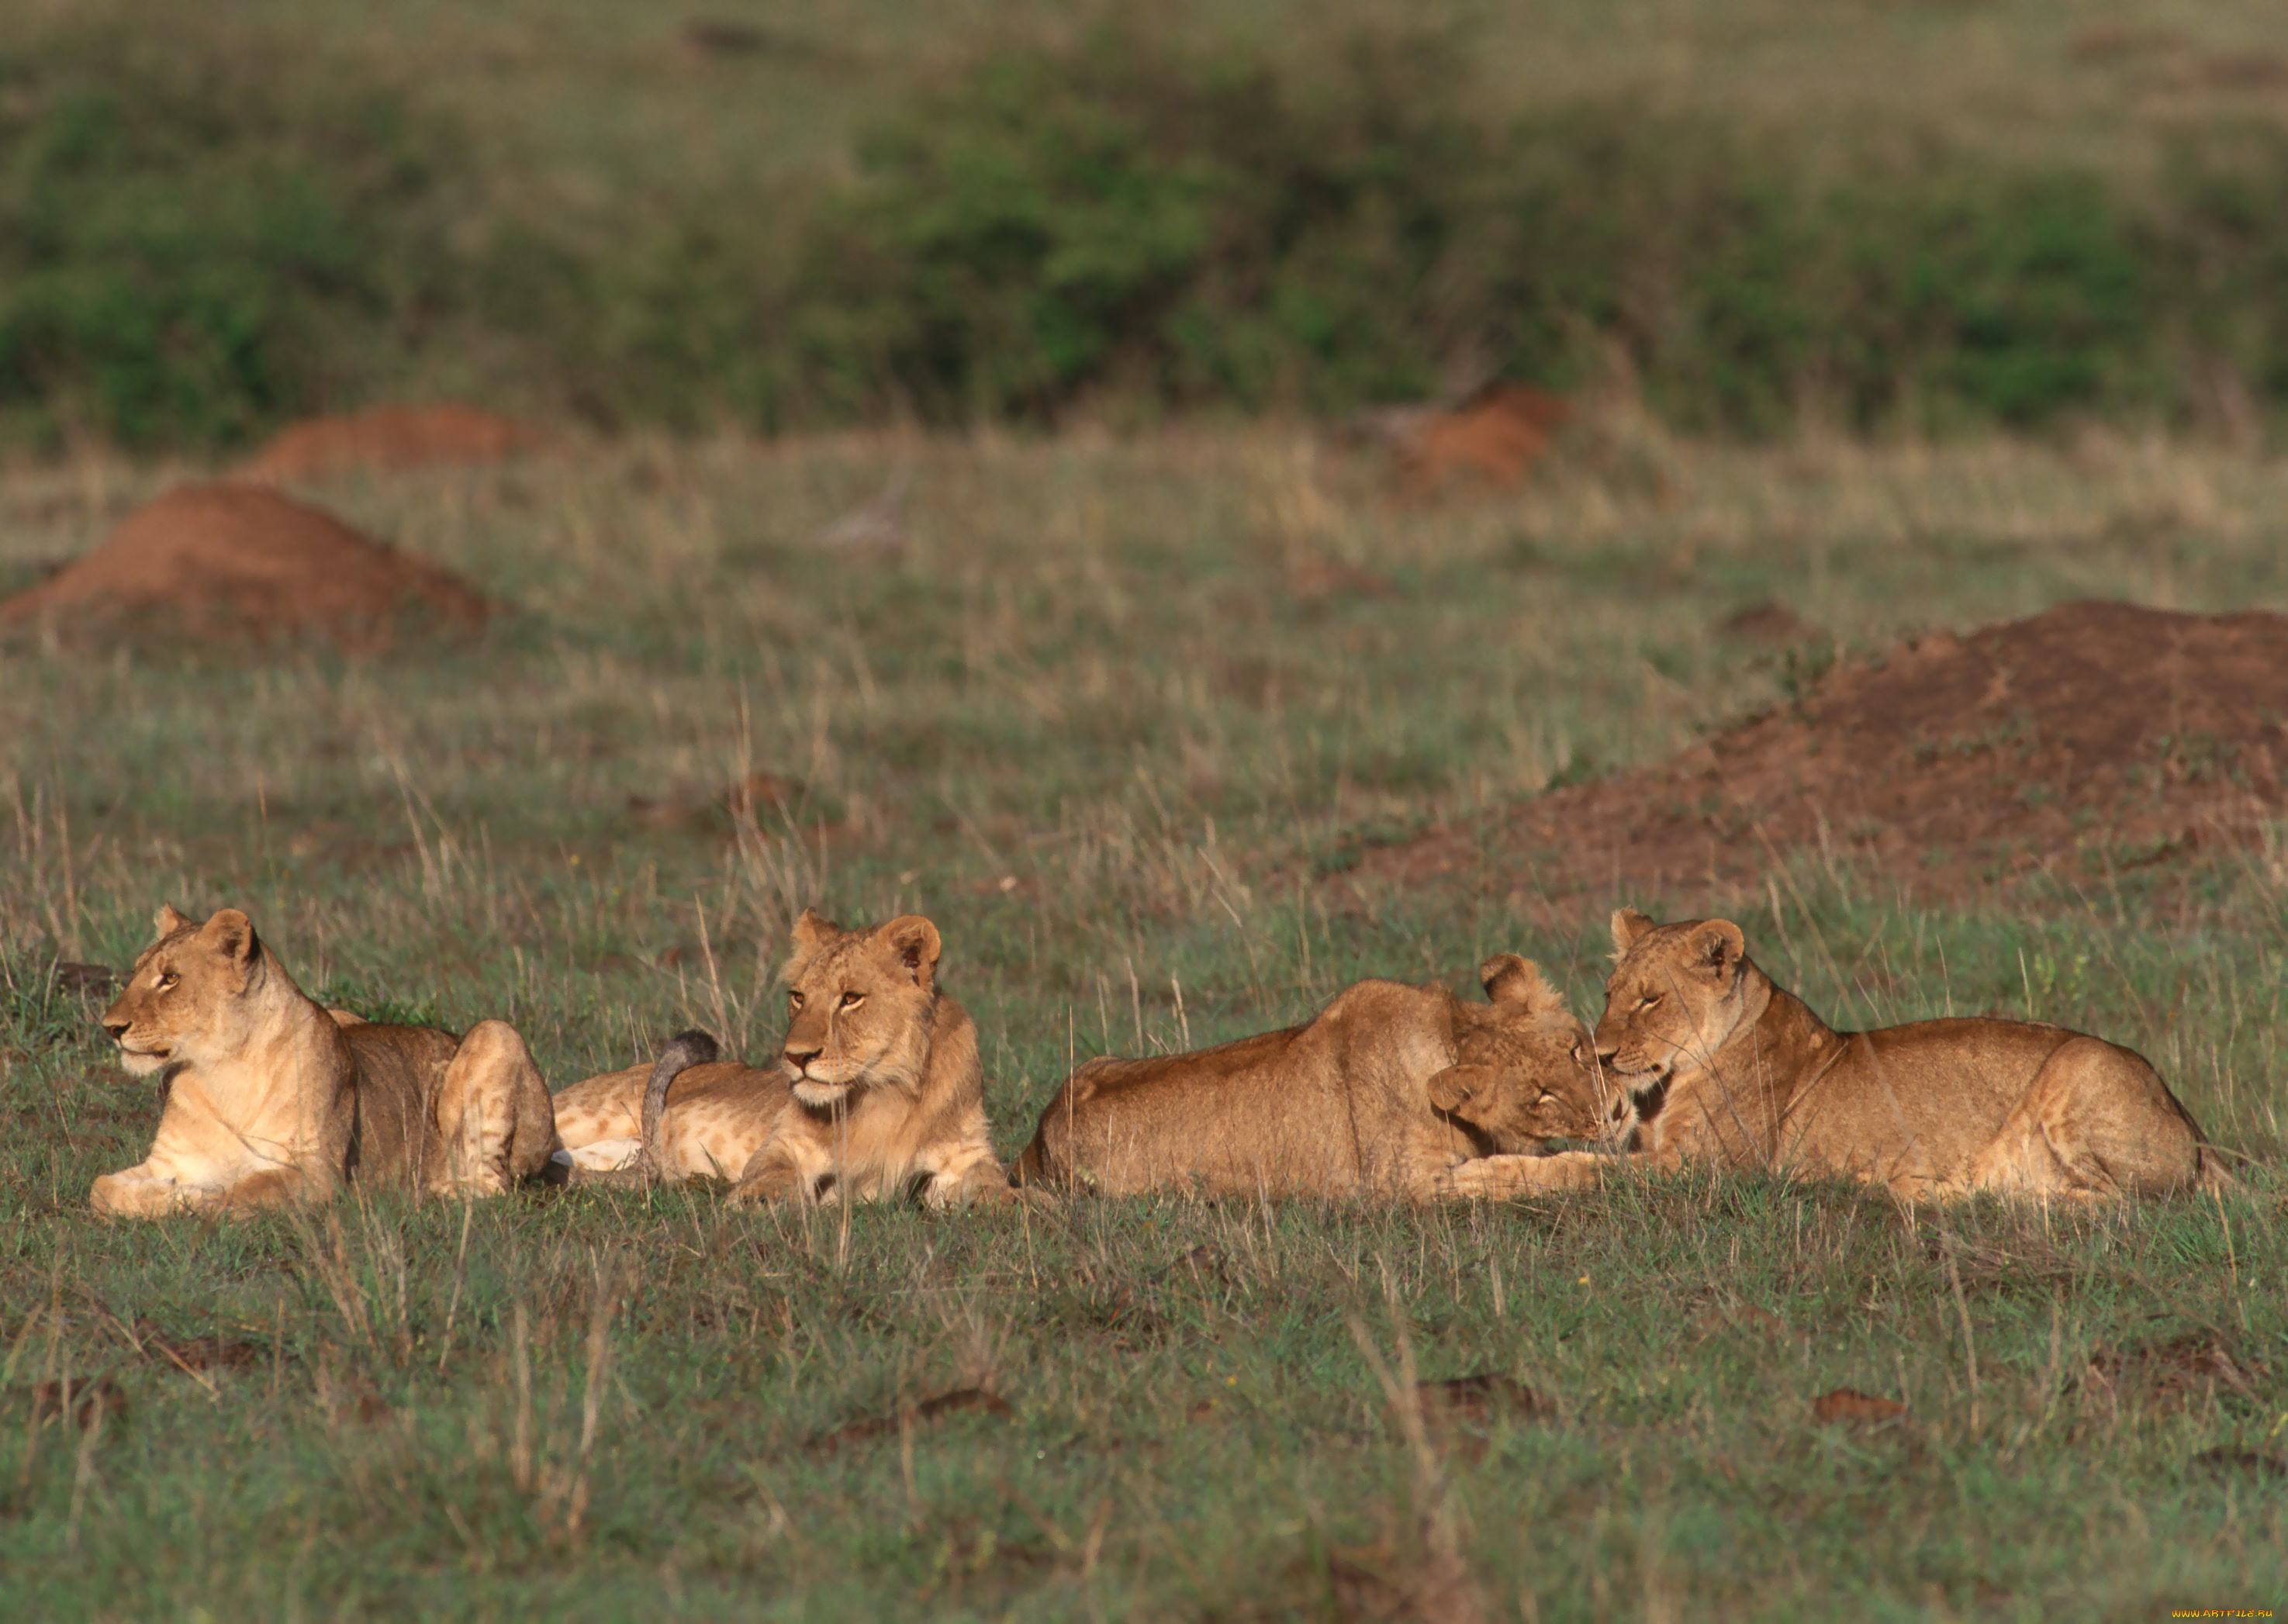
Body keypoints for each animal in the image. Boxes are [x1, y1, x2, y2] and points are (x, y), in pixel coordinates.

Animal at [97, 901, 562, 1225]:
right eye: (137, 971)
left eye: (171, 978)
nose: (111, 1027)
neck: (219, 1070)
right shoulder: (172, 1161)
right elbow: (101, 1190)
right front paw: (174, 1196)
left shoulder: (317, 1172)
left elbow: (246, 1191)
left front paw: (197, 1200)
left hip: (496, 1034)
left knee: (493, 1186)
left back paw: (427, 1192)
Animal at [1011, 955, 1619, 1208]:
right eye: (1540, 1095)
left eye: (1577, 1049)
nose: (1613, 1112)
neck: (1448, 1036)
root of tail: (1041, 1133)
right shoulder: (1402, 1184)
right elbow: (1521, 1172)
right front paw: (1612, 1172)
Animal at [1464, 914, 2233, 1208]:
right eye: (1609, 995)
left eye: (1651, 1000)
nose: (1601, 1054)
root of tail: (2194, 1127)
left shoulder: (1705, 1172)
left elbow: (1580, 1169)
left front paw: (1479, 1177)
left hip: (2078, 1070)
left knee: (2124, 1204)